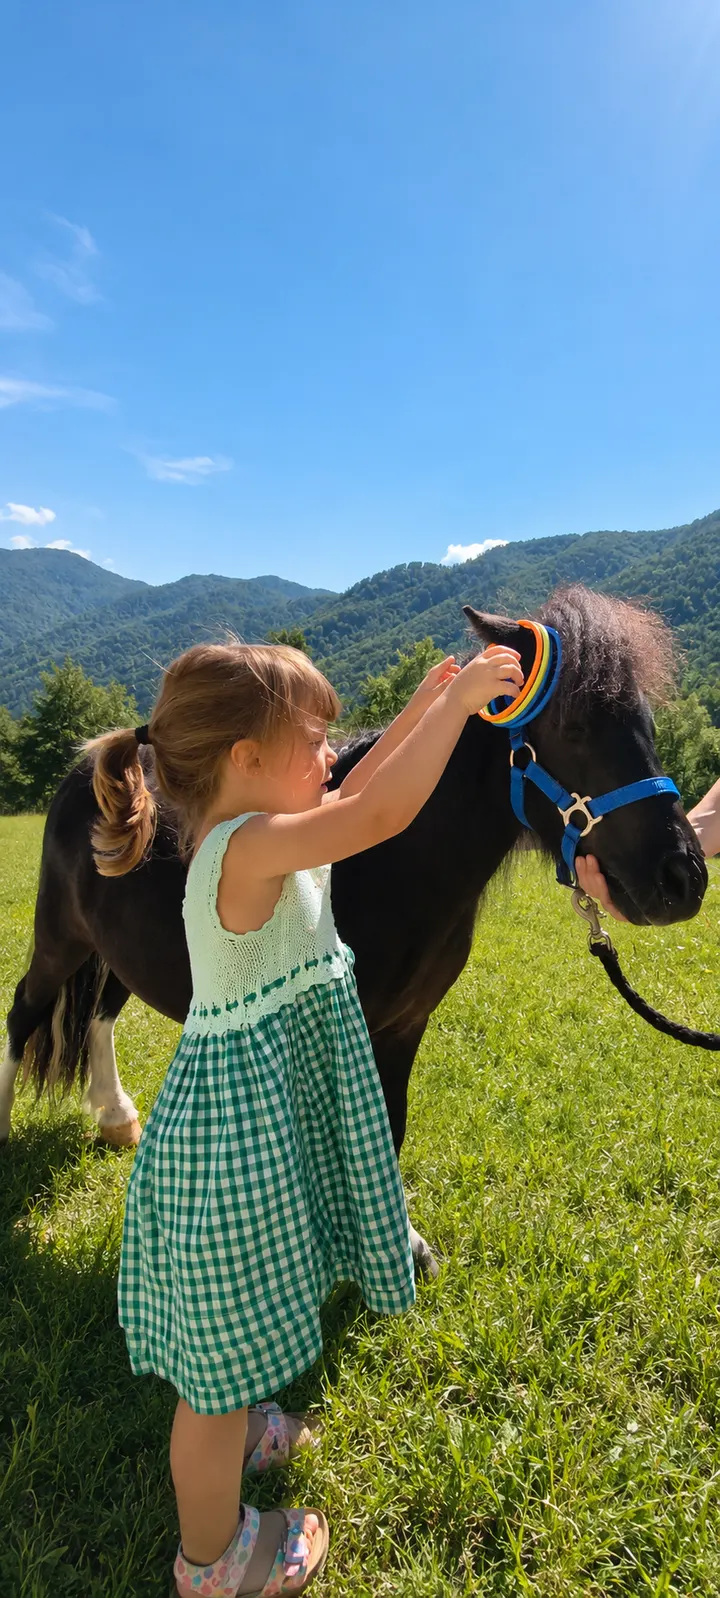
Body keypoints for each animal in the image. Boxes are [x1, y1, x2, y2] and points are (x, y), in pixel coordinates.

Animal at [1, 588, 707, 1272]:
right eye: (573, 726)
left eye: (647, 725)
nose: (684, 878)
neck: (397, 863)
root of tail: (89, 769)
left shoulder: (405, 1024)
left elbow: (391, 1125)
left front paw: (405, 1245)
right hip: (60, 939)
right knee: (25, 1008)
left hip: (116, 950)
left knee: (100, 1012)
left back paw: (117, 1117)